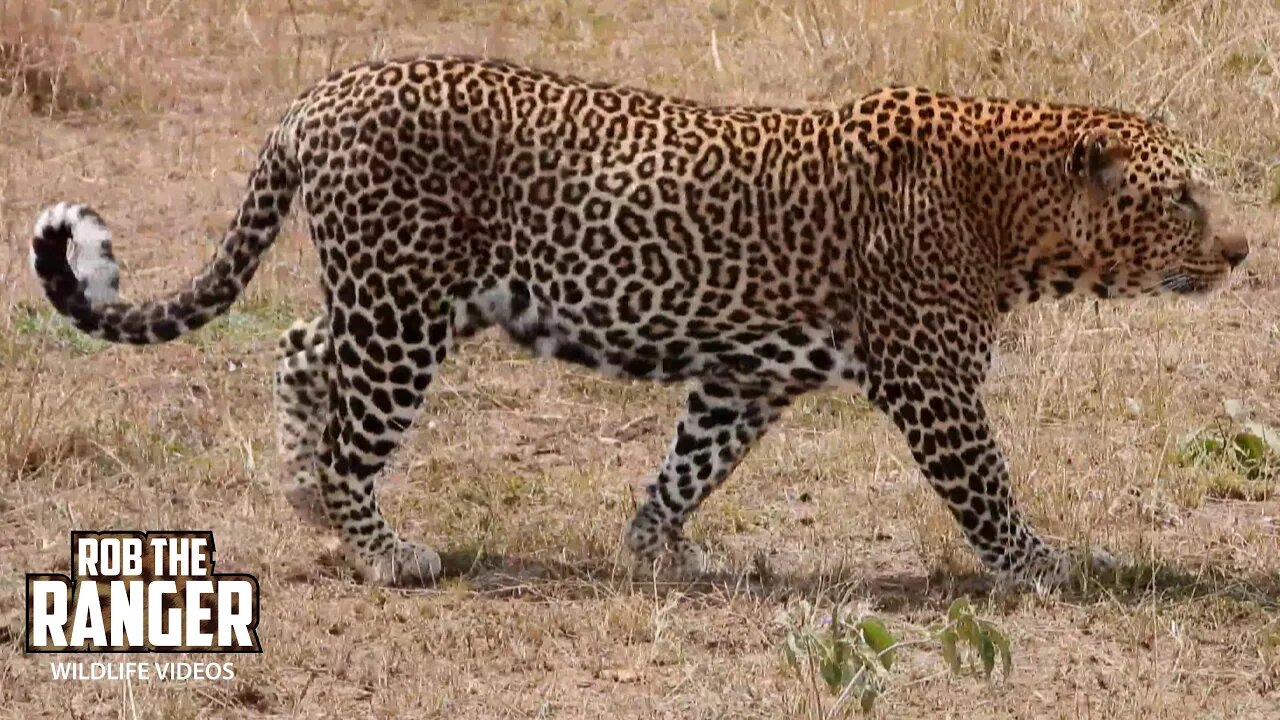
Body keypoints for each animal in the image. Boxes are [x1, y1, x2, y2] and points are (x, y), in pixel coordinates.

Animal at [30, 54, 1249, 584]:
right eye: (1182, 196)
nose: (1242, 251)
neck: (1015, 214)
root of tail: (312, 99)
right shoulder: (932, 385)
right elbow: (989, 491)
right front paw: (1046, 565)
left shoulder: (748, 376)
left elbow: (687, 466)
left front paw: (658, 551)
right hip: (403, 310)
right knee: (349, 432)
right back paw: (380, 548)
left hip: (403, 298)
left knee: (299, 349)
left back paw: (305, 505)